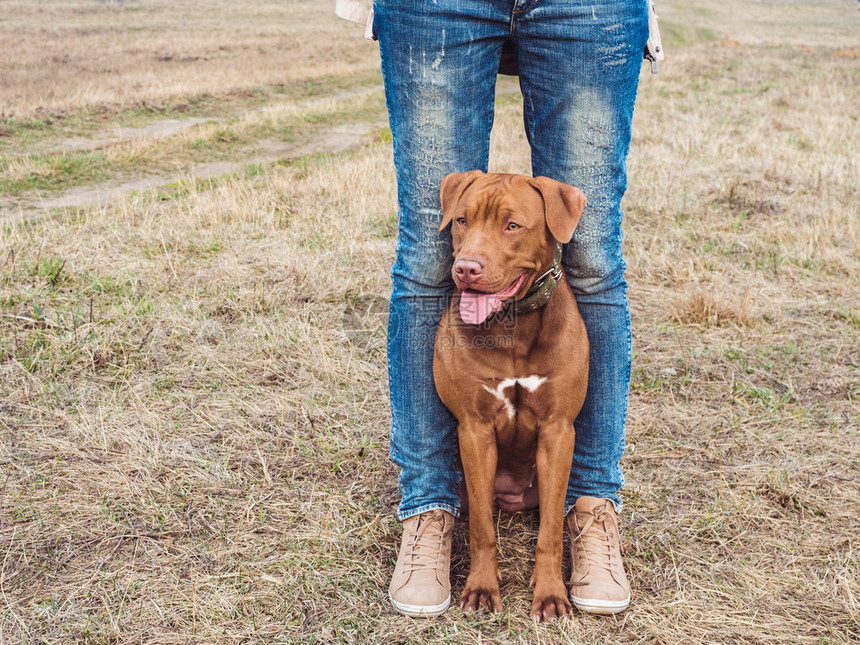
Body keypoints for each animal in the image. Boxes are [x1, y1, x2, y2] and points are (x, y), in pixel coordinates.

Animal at [434, 170, 588, 620]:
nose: (466, 268)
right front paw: (482, 587)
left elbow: (551, 530)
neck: (513, 324)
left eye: (512, 225)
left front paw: (551, 593)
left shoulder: (557, 433)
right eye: (462, 220)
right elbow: (483, 528)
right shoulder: (475, 430)